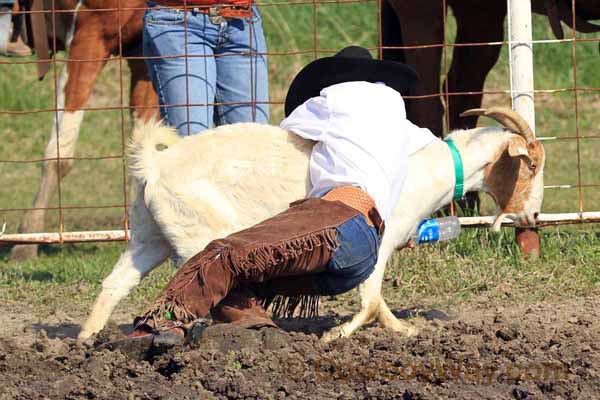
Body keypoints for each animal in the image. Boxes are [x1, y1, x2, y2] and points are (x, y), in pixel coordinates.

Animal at [78, 108, 544, 340]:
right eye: (533, 165)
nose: (534, 216)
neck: (431, 165)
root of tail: (155, 164)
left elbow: (378, 304)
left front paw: (405, 330)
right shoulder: (377, 241)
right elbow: (370, 299)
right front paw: (334, 337)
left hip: (150, 234)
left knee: (115, 284)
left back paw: (87, 342)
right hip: (198, 233)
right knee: (202, 284)